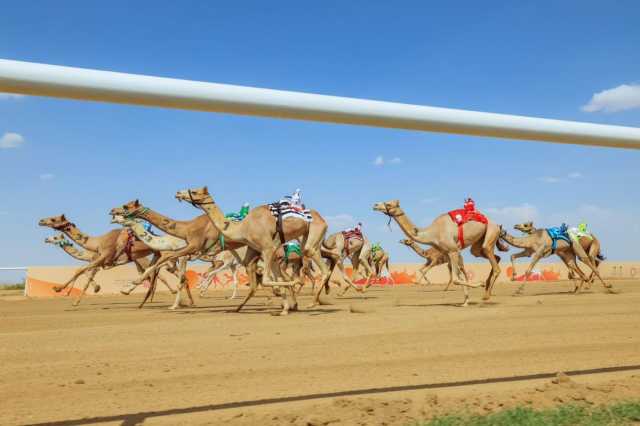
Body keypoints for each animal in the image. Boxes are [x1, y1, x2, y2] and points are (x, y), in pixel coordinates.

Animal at [39, 215, 175, 304]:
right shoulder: (100, 261)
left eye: (53, 219)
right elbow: (83, 272)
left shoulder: (102, 258)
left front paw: (59, 290)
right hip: (147, 257)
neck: (97, 243)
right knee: (151, 274)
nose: (40, 221)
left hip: (154, 257)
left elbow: (81, 271)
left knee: (159, 274)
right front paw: (73, 297)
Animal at [176, 186, 336, 312]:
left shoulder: (268, 247)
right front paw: (285, 306)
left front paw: (291, 290)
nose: (178, 193)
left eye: (195, 191)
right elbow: (273, 278)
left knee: (322, 267)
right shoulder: (263, 250)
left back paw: (313, 302)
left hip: (314, 233)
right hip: (305, 238)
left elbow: (266, 279)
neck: (242, 228)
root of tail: (323, 219)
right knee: (322, 257)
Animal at [370, 201, 504, 306]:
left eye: (388, 204)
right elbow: (457, 277)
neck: (433, 233)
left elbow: (456, 278)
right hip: (477, 243)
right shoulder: (448, 252)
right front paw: (465, 302)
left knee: (493, 261)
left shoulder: (452, 250)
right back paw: (486, 290)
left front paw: (478, 284)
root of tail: (497, 225)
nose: (375, 205)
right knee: (490, 256)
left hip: (491, 231)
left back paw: (486, 294)